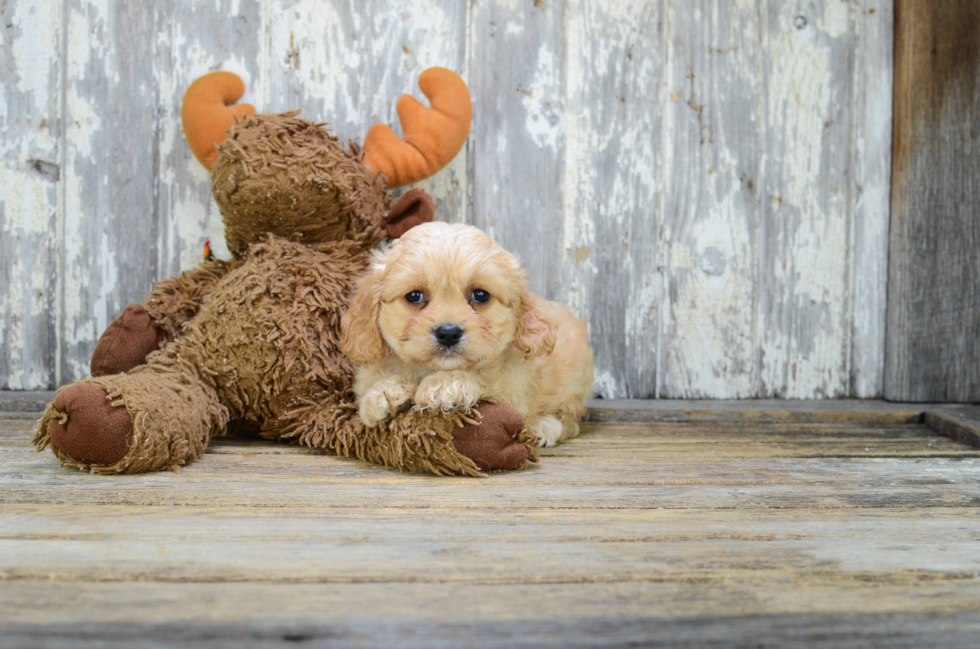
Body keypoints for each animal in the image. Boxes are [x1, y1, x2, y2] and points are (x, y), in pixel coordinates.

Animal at [340, 223, 592, 446]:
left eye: (480, 295)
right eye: (414, 296)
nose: (448, 333)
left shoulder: (511, 390)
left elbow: (485, 381)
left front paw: (445, 386)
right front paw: (383, 393)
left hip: (574, 382)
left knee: (569, 420)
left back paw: (545, 426)